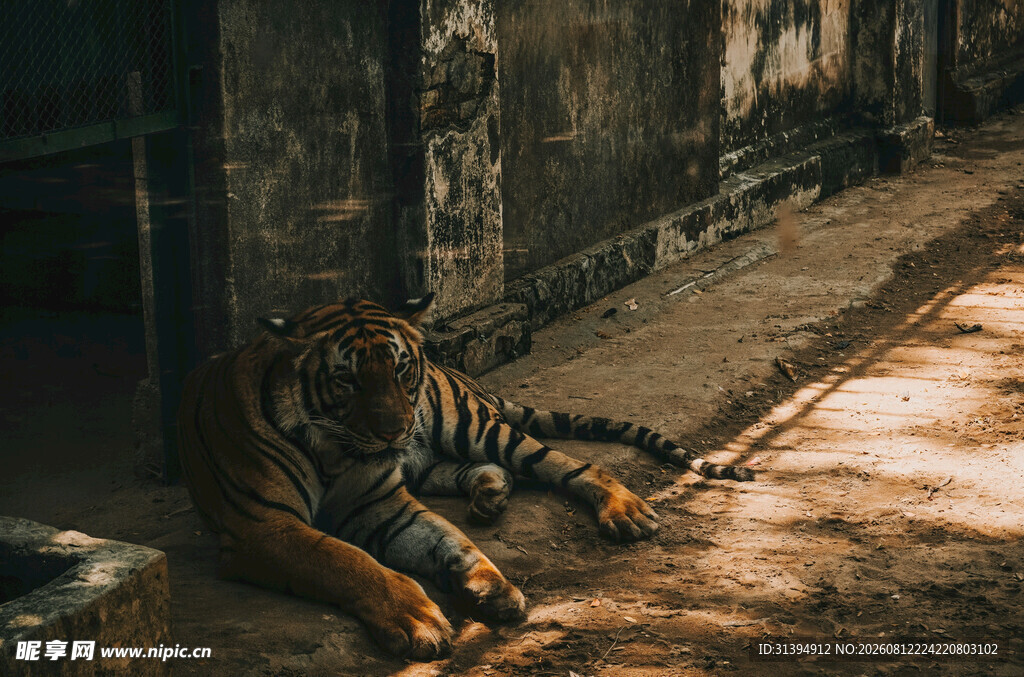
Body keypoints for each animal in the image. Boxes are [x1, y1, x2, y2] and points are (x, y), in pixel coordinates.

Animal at [176, 293, 754, 660]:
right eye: (347, 379)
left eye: (398, 369)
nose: (394, 430)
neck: (336, 451)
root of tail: (460, 372)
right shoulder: (263, 527)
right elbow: (346, 560)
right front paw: (421, 618)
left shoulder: (380, 501)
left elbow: (447, 539)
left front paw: (490, 587)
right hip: (430, 460)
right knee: (488, 473)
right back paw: (489, 496)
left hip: (472, 427)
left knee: (570, 463)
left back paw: (624, 511)